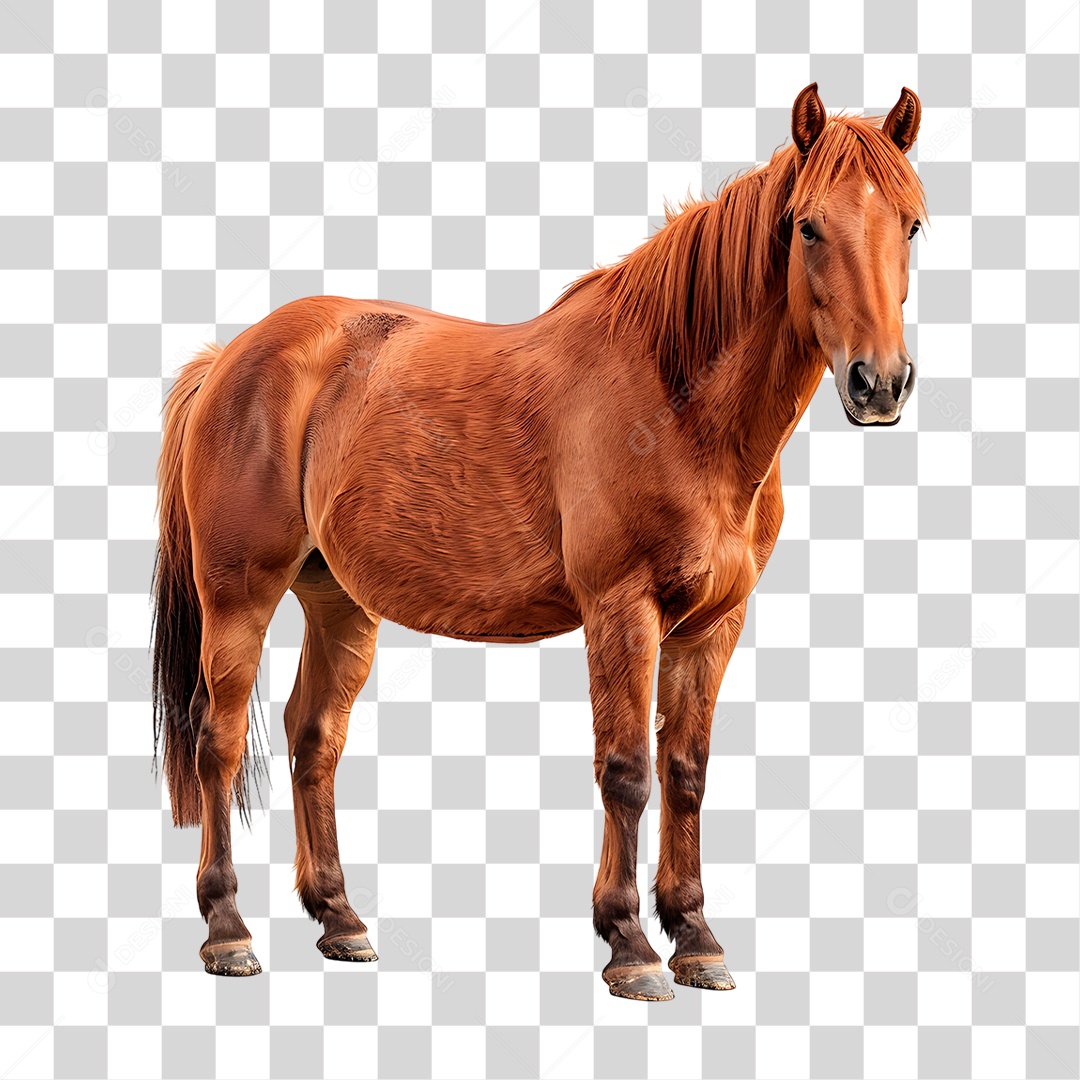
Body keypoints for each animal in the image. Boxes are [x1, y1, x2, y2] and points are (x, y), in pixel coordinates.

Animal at [152, 83, 925, 1000]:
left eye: (912, 225)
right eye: (807, 226)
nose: (880, 384)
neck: (676, 401)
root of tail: (231, 356)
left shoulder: (711, 626)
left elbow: (686, 772)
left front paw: (697, 938)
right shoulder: (622, 611)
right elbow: (626, 769)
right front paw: (630, 945)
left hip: (339, 602)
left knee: (314, 738)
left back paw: (339, 919)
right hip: (238, 594)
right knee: (219, 740)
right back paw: (227, 930)